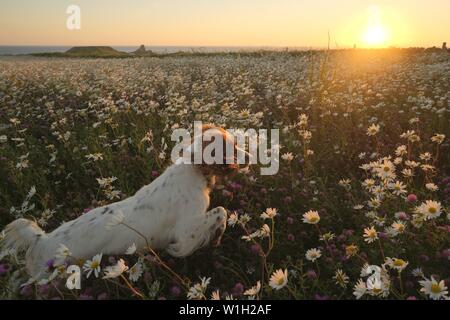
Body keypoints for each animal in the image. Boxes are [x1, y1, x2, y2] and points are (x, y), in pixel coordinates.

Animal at [1, 125, 241, 280]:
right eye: (231, 147)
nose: (248, 155)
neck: (194, 171)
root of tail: (41, 239)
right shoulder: (186, 230)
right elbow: (221, 211)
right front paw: (216, 236)